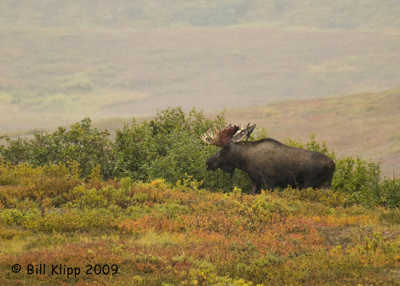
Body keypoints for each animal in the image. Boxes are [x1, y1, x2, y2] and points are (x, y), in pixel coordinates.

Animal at [202, 123, 336, 194]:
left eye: (221, 151)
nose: (208, 163)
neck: (245, 161)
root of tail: (333, 165)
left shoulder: (269, 182)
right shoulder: (256, 181)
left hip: (311, 184)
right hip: (325, 185)